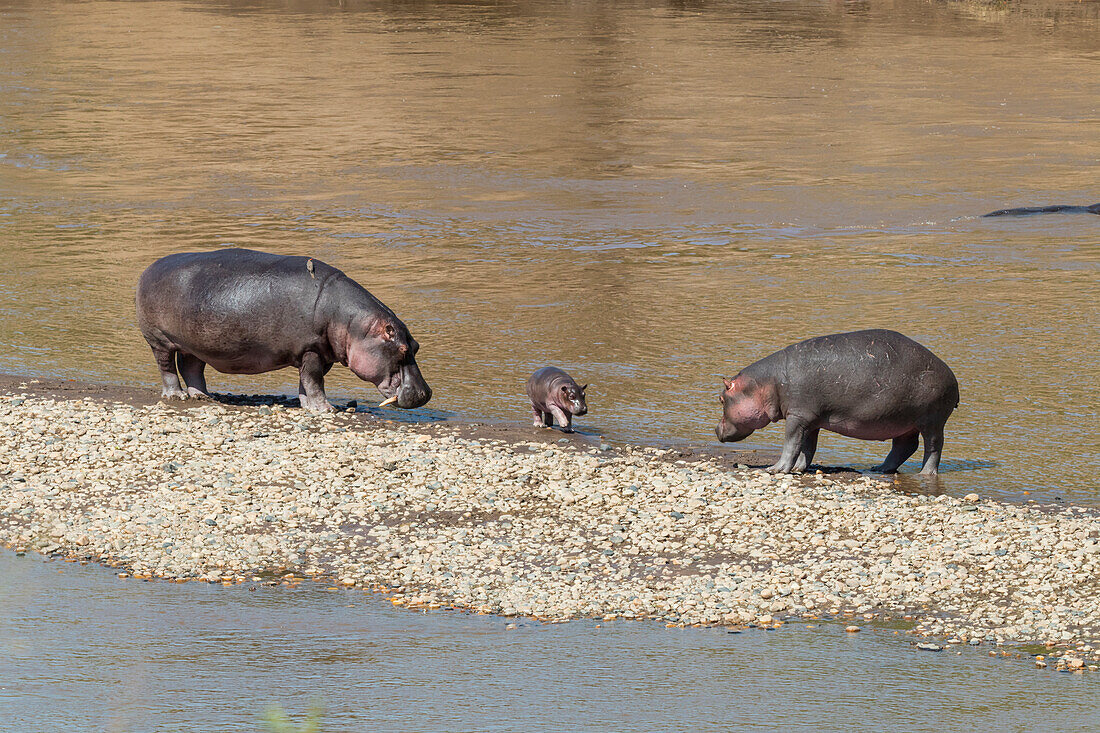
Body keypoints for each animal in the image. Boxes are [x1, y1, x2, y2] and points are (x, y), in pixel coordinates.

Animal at [134, 248, 429, 411]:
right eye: (402, 349)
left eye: (416, 346)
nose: (426, 393)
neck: (354, 324)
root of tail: (147, 269)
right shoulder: (311, 349)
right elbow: (314, 381)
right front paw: (327, 409)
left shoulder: (318, 352)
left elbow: (306, 381)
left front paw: (309, 407)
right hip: (159, 340)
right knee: (167, 368)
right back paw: (177, 395)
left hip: (194, 344)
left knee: (191, 367)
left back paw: (205, 397)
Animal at [717, 330, 959, 473]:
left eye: (720, 399)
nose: (715, 429)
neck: (766, 383)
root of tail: (952, 376)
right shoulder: (811, 420)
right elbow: (806, 447)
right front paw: (799, 469)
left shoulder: (797, 415)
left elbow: (791, 443)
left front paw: (776, 469)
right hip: (903, 422)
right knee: (905, 446)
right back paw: (879, 469)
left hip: (932, 421)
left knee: (933, 447)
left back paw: (925, 473)